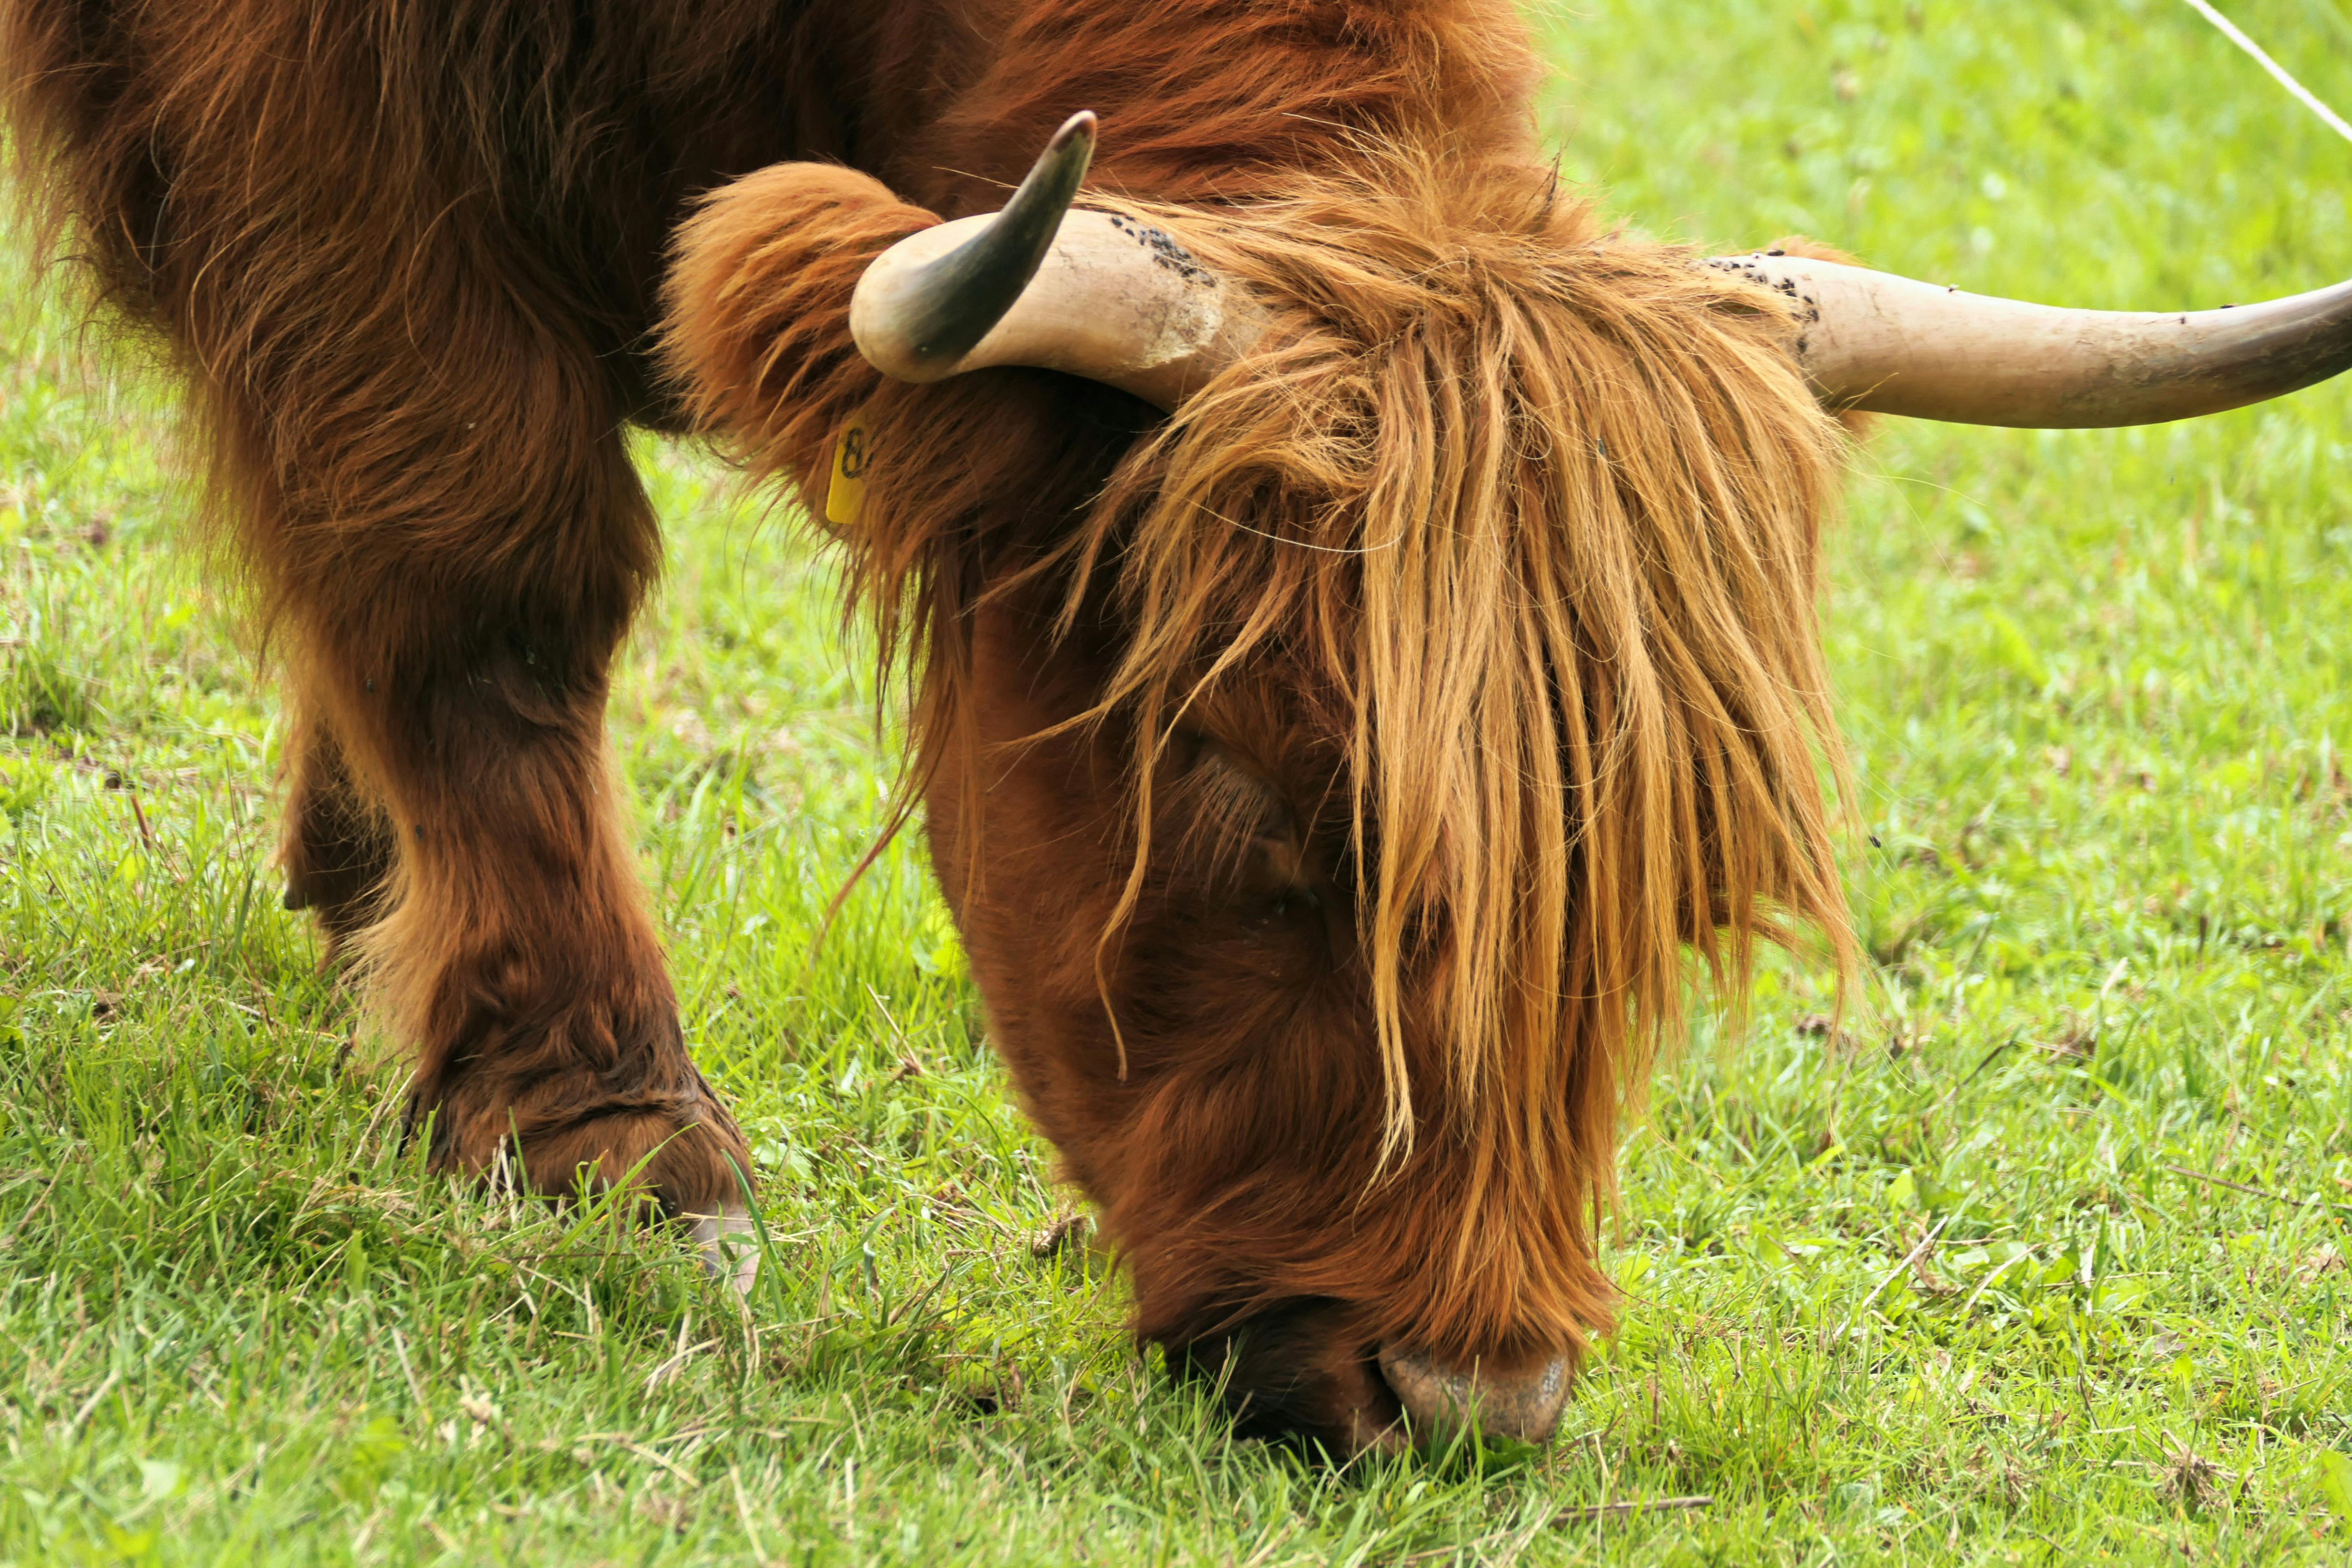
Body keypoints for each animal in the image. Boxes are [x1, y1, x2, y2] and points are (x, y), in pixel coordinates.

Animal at [5, 0, 2347, 1458]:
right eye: (1258, 790)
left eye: (1663, 901)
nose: (1452, 1397)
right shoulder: (328, 142)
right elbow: (481, 556)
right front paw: (596, 1125)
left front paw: (368, 896)